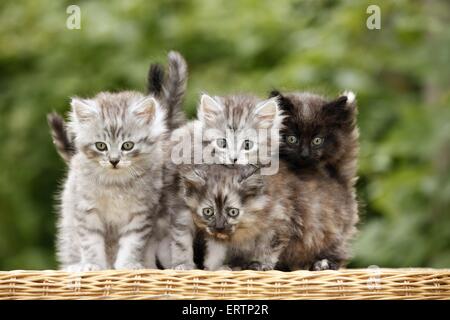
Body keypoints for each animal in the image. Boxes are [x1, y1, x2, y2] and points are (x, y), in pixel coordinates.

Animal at [57, 91, 167, 272]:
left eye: (127, 145)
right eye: (101, 146)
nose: (114, 161)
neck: (116, 184)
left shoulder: (142, 213)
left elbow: (132, 242)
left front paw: (128, 265)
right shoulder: (86, 210)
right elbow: (91, 242)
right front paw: (92, 265)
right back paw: (76, 266)